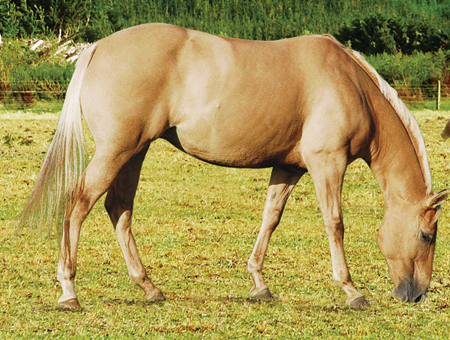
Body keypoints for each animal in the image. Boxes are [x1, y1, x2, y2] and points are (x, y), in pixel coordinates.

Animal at [19, 23, 448, 310]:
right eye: (427, 236)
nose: (416, 294)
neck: (349, 83)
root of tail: (96, 48)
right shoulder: (328, 163)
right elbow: (335, 223)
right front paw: (351, 291)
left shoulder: (289, 168)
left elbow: (270, 219)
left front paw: (259, 284)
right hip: (116, 152)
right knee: (78, 205)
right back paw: (69, 290)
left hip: (133, 152)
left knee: (118, 209)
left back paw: (149, 287)